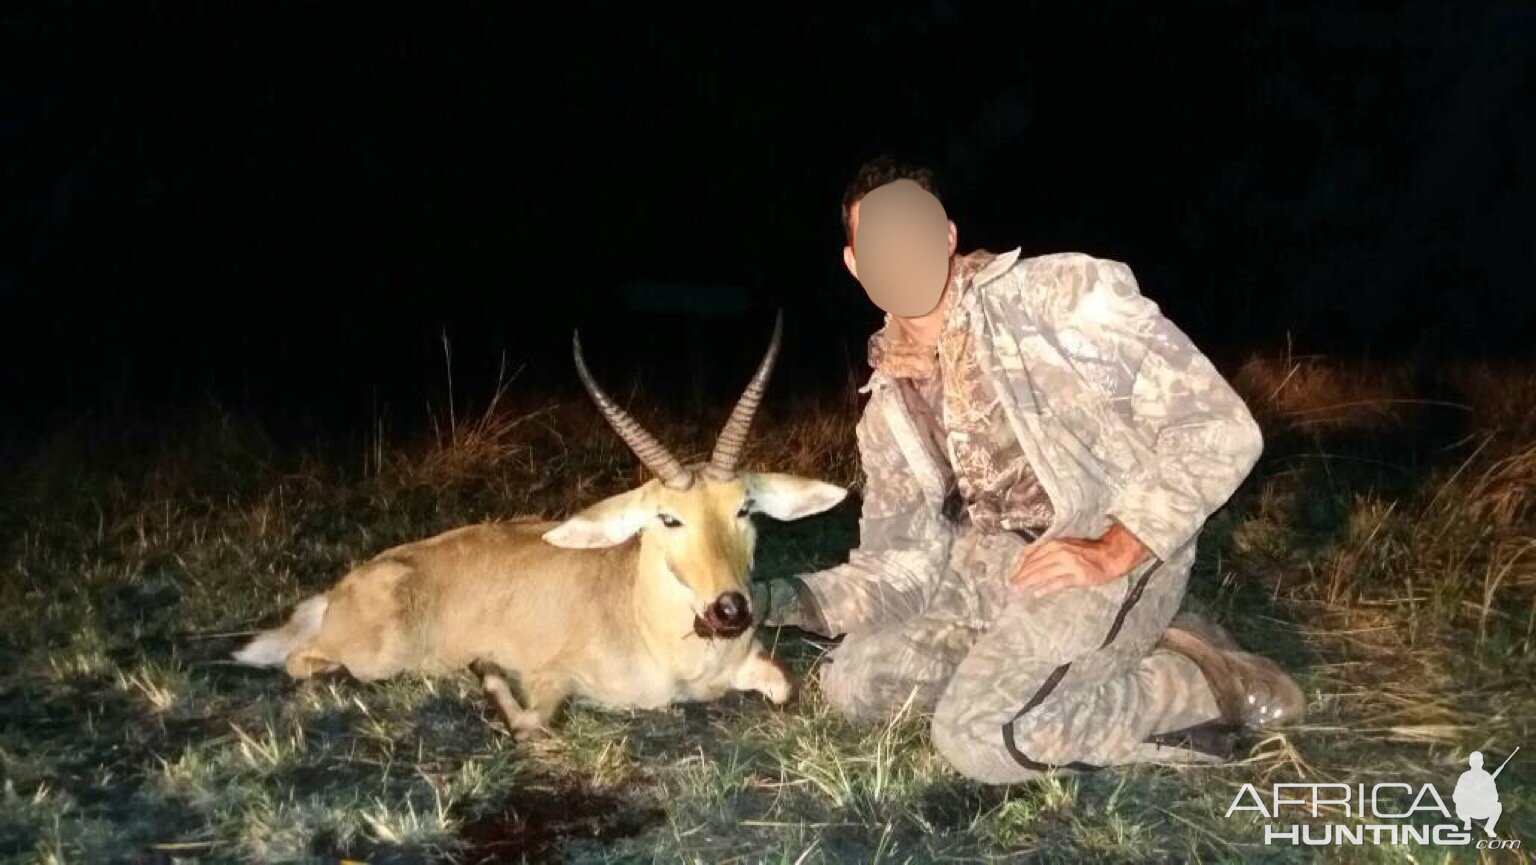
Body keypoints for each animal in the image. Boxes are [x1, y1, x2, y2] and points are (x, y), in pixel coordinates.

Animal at [233, 314, 847, 740]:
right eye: (668, 517)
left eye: (744, 508)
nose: (731, 609)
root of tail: (343, 589)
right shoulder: (552, 679)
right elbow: (533, 722)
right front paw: (485, 666)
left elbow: (785, 686)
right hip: (374, 656)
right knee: (301, 659)